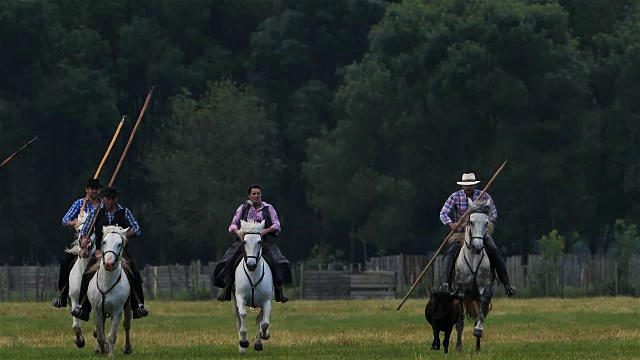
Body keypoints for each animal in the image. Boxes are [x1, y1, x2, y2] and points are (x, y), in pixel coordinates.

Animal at [87, 226, 132, 356]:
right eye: (104, 242)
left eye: (119, 243)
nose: (108, 264)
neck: (106, 283)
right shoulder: (97, 311)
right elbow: (100, 335)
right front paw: (103, 349)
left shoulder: (117, 311)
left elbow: (112, 335)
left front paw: (111, 354)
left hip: (127, 308)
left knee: (126, 325)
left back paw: (127, 348)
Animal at [232, 221, 276, 352]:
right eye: (244, 242)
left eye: (260, 242)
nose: (251, 265)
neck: (253, 275)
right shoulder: (240, 297)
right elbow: (243, 314)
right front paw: (244, 342)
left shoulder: (266, 300)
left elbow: (264, 323)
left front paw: (264, 335)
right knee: (238, 320)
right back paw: (241, 348)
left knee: (260, 319)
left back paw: (258, 343)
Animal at [450, 197, 496, 352]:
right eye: (471, 222)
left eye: (486, 222)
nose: (477, 247)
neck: (474, 258)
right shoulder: (460, 292)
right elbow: (460, 320)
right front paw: (458, 347)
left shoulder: (484, 291)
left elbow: (480, 316)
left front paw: (478, 331)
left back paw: (477, 347)